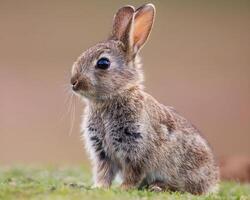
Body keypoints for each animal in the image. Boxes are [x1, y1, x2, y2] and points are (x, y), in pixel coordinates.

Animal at [70, 2, 219, 194]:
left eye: (103, 63)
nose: (74, 82)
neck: (113, 97)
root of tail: (213, 180)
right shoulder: (102, 152)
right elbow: (104, 172)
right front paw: (99, 187)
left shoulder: (136, 149)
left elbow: (133, 172)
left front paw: (124, 188)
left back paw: (159, 186)